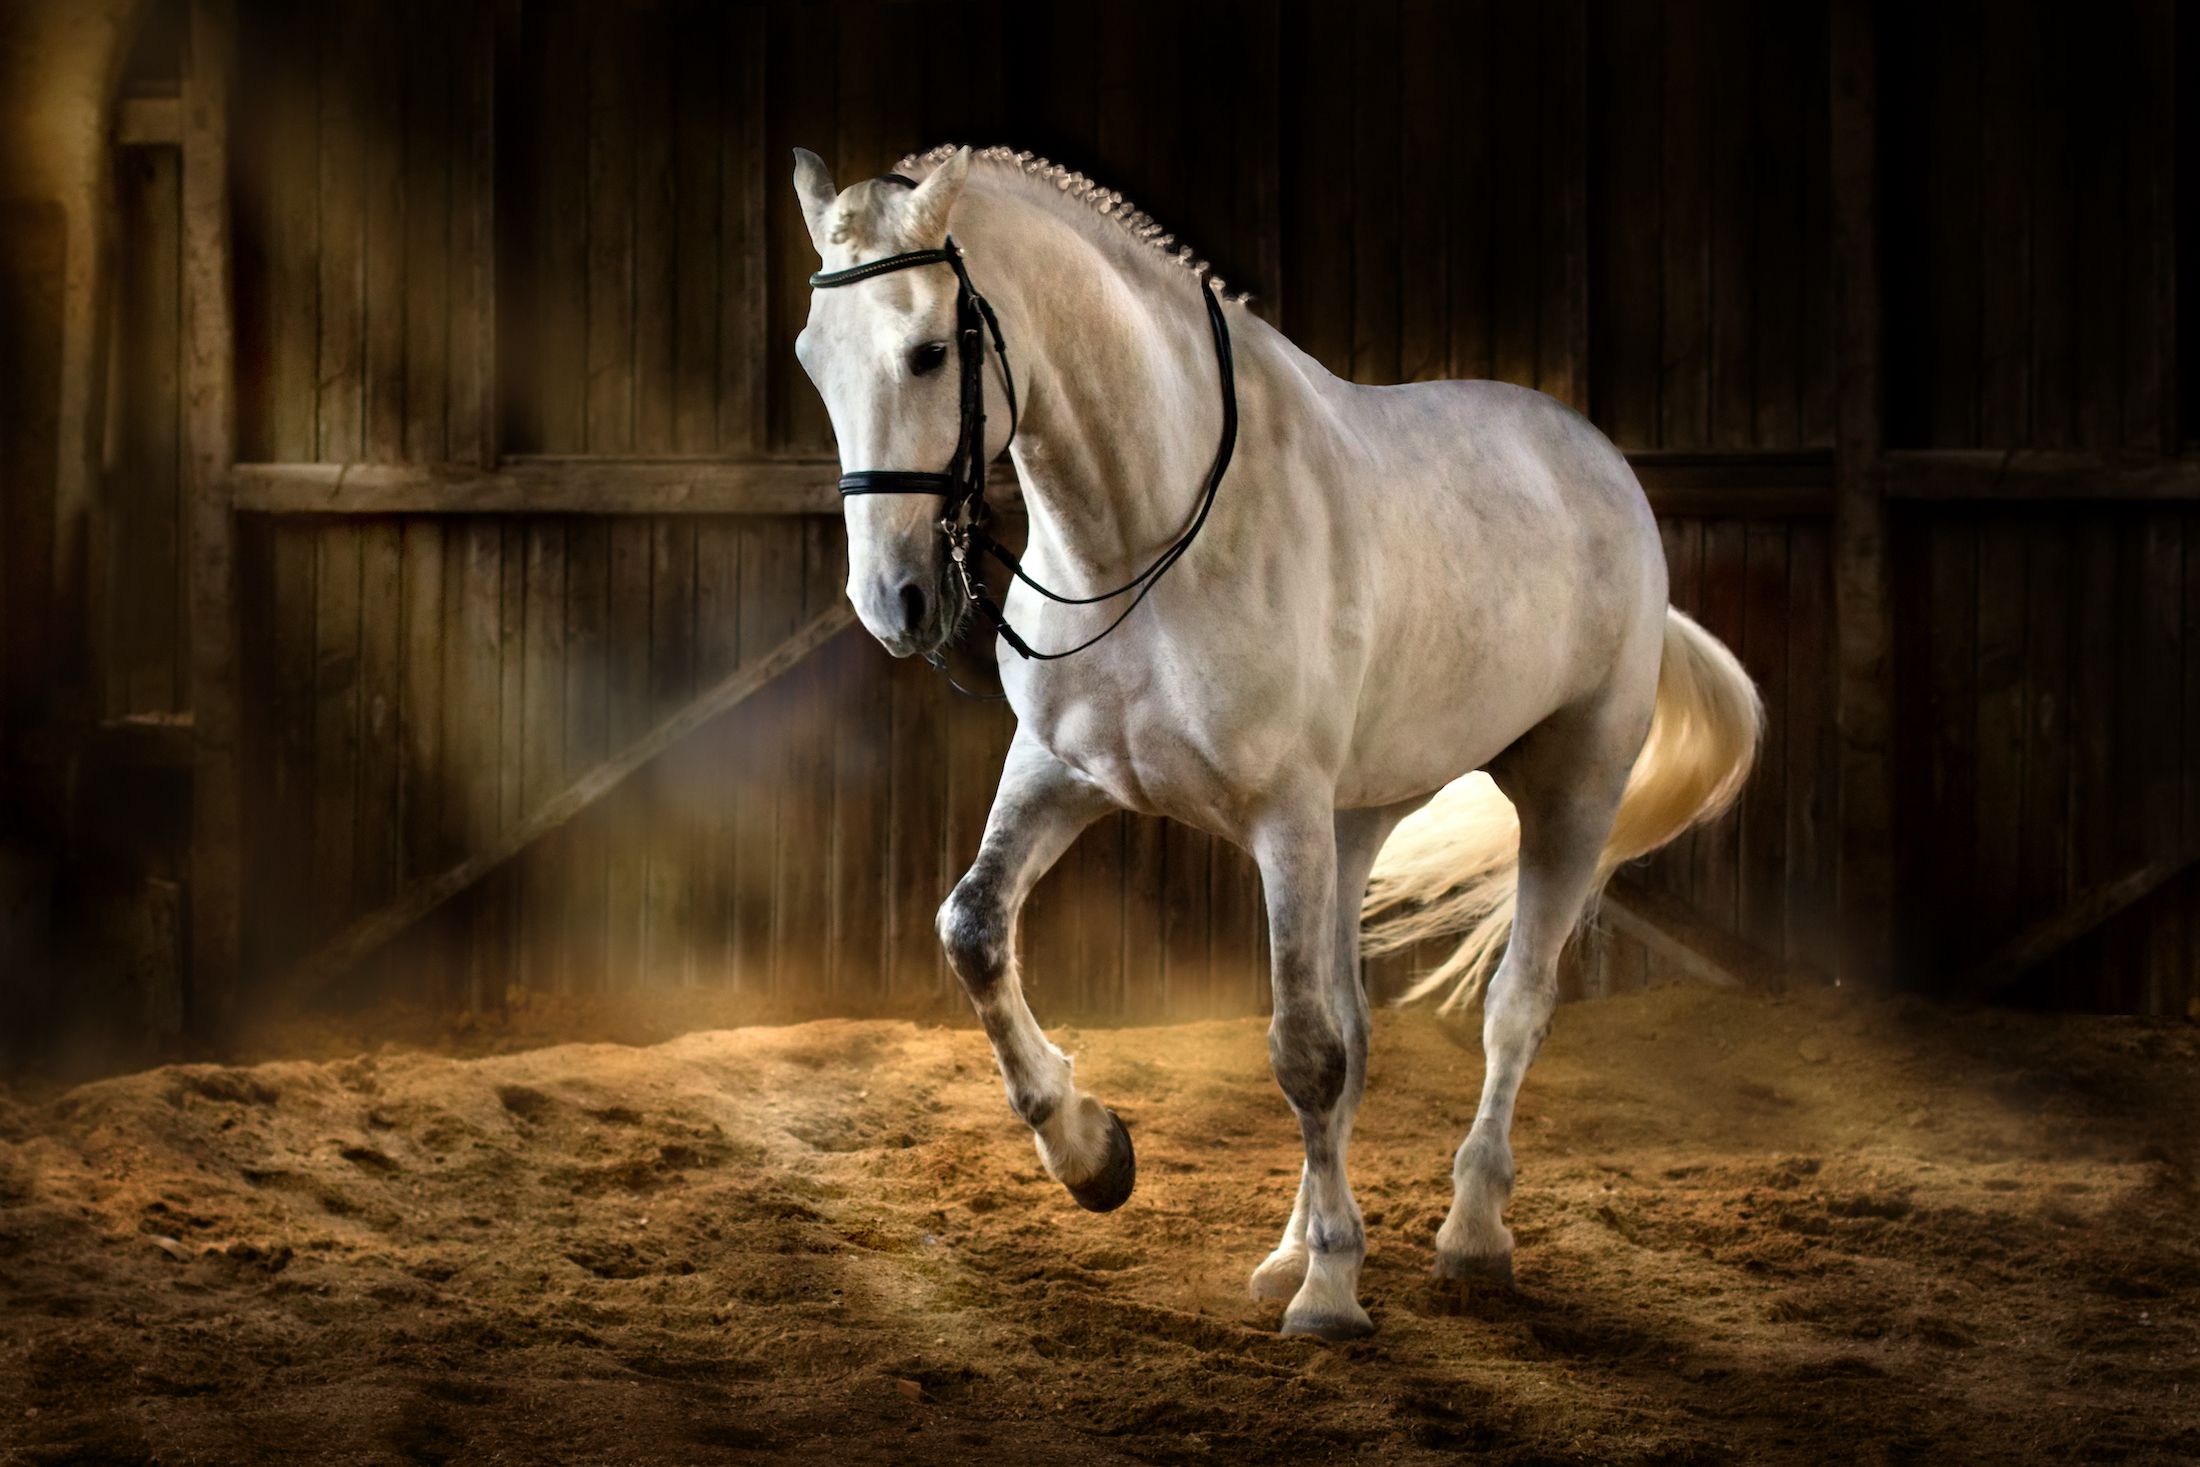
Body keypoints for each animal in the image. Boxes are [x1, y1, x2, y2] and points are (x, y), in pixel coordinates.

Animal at [790, 143, 1761, 1340]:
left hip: (1566, 789)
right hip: (1357, 823)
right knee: (1359, 1028)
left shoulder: (1283, 820)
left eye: (929, 353)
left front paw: (1333, 1294)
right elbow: (972, 928)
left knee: (1513, 1010)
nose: (893, 602)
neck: (1149, 538)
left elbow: (1303, 1051)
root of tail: (1602, 463)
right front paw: (1093, 1155)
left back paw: (1468, 1235)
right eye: (813, 360)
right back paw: (1289, 1247)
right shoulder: (1062, 774)